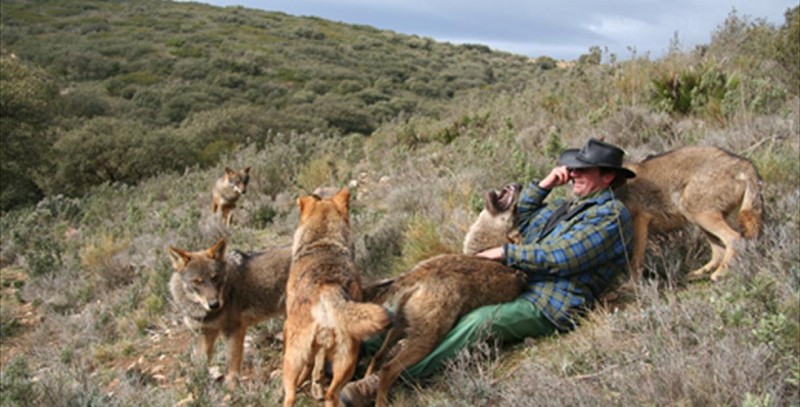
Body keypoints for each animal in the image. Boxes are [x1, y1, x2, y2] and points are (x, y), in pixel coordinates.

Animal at [167, 241, 292, 390]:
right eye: (197, 281)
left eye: (215, 278)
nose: (214, 304)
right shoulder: (206, 332)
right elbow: (200, 364)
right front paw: (197, 385)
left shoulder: (234, 329)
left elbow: (232, 365)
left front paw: (231, 390)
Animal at [282, 189, 392, 407]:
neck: (323, 241)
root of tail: (328, 287)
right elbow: (318, 364)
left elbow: (311, 365)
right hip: (346, 360)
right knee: (331, 395)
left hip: (292, 359)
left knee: (291, 395)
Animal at [354, 183, 528, 406]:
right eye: (517, 212)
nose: (518, 185)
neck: (486, 250)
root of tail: (420, 273)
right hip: (423, 338)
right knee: (386, 367)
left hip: (406, 330)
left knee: (380, 359)